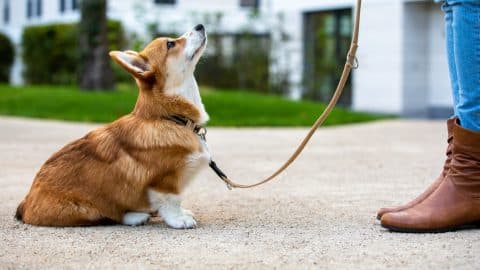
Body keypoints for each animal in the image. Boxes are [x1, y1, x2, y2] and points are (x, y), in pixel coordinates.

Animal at [15, 24, 210, 228]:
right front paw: (179, 219)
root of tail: (25, 203)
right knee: (109, 215)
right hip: (87, 210)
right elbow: (172, 200)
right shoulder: (165, 181)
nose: (200, 26)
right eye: (170, 44)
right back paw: (136, 216)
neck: (169, 117)